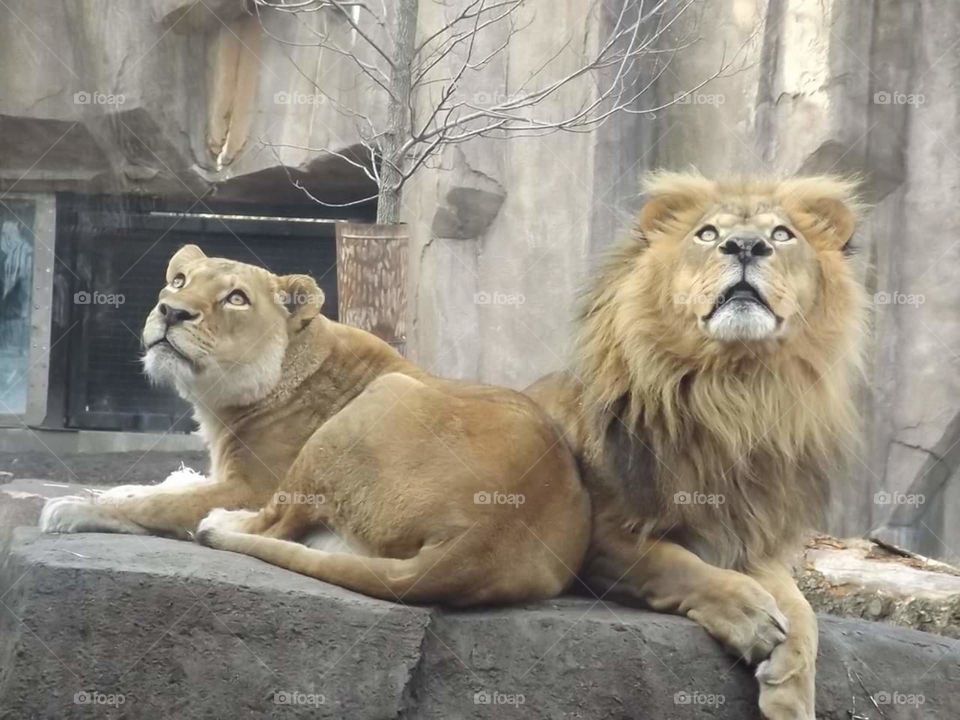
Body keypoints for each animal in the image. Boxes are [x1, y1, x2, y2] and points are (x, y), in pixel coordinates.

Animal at [40, 245, 591, 607]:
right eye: (179, 282)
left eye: (236, 298)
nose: (171, 312)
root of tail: (480, 544)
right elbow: (160, 486)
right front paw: (119, 490)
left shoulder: (253, 483)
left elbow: (163, 503)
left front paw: (75, 507)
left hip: (370, 408)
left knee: (271, 523)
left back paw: (220, 524)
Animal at [526, 172, 866, 720]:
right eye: (708, 235)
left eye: (782, 234)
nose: (746, 246)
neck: (734, 391)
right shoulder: (598, 533)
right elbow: (675, 563)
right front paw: (752, 616)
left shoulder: (753, 536)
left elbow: (803, 610)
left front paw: (790, 692)